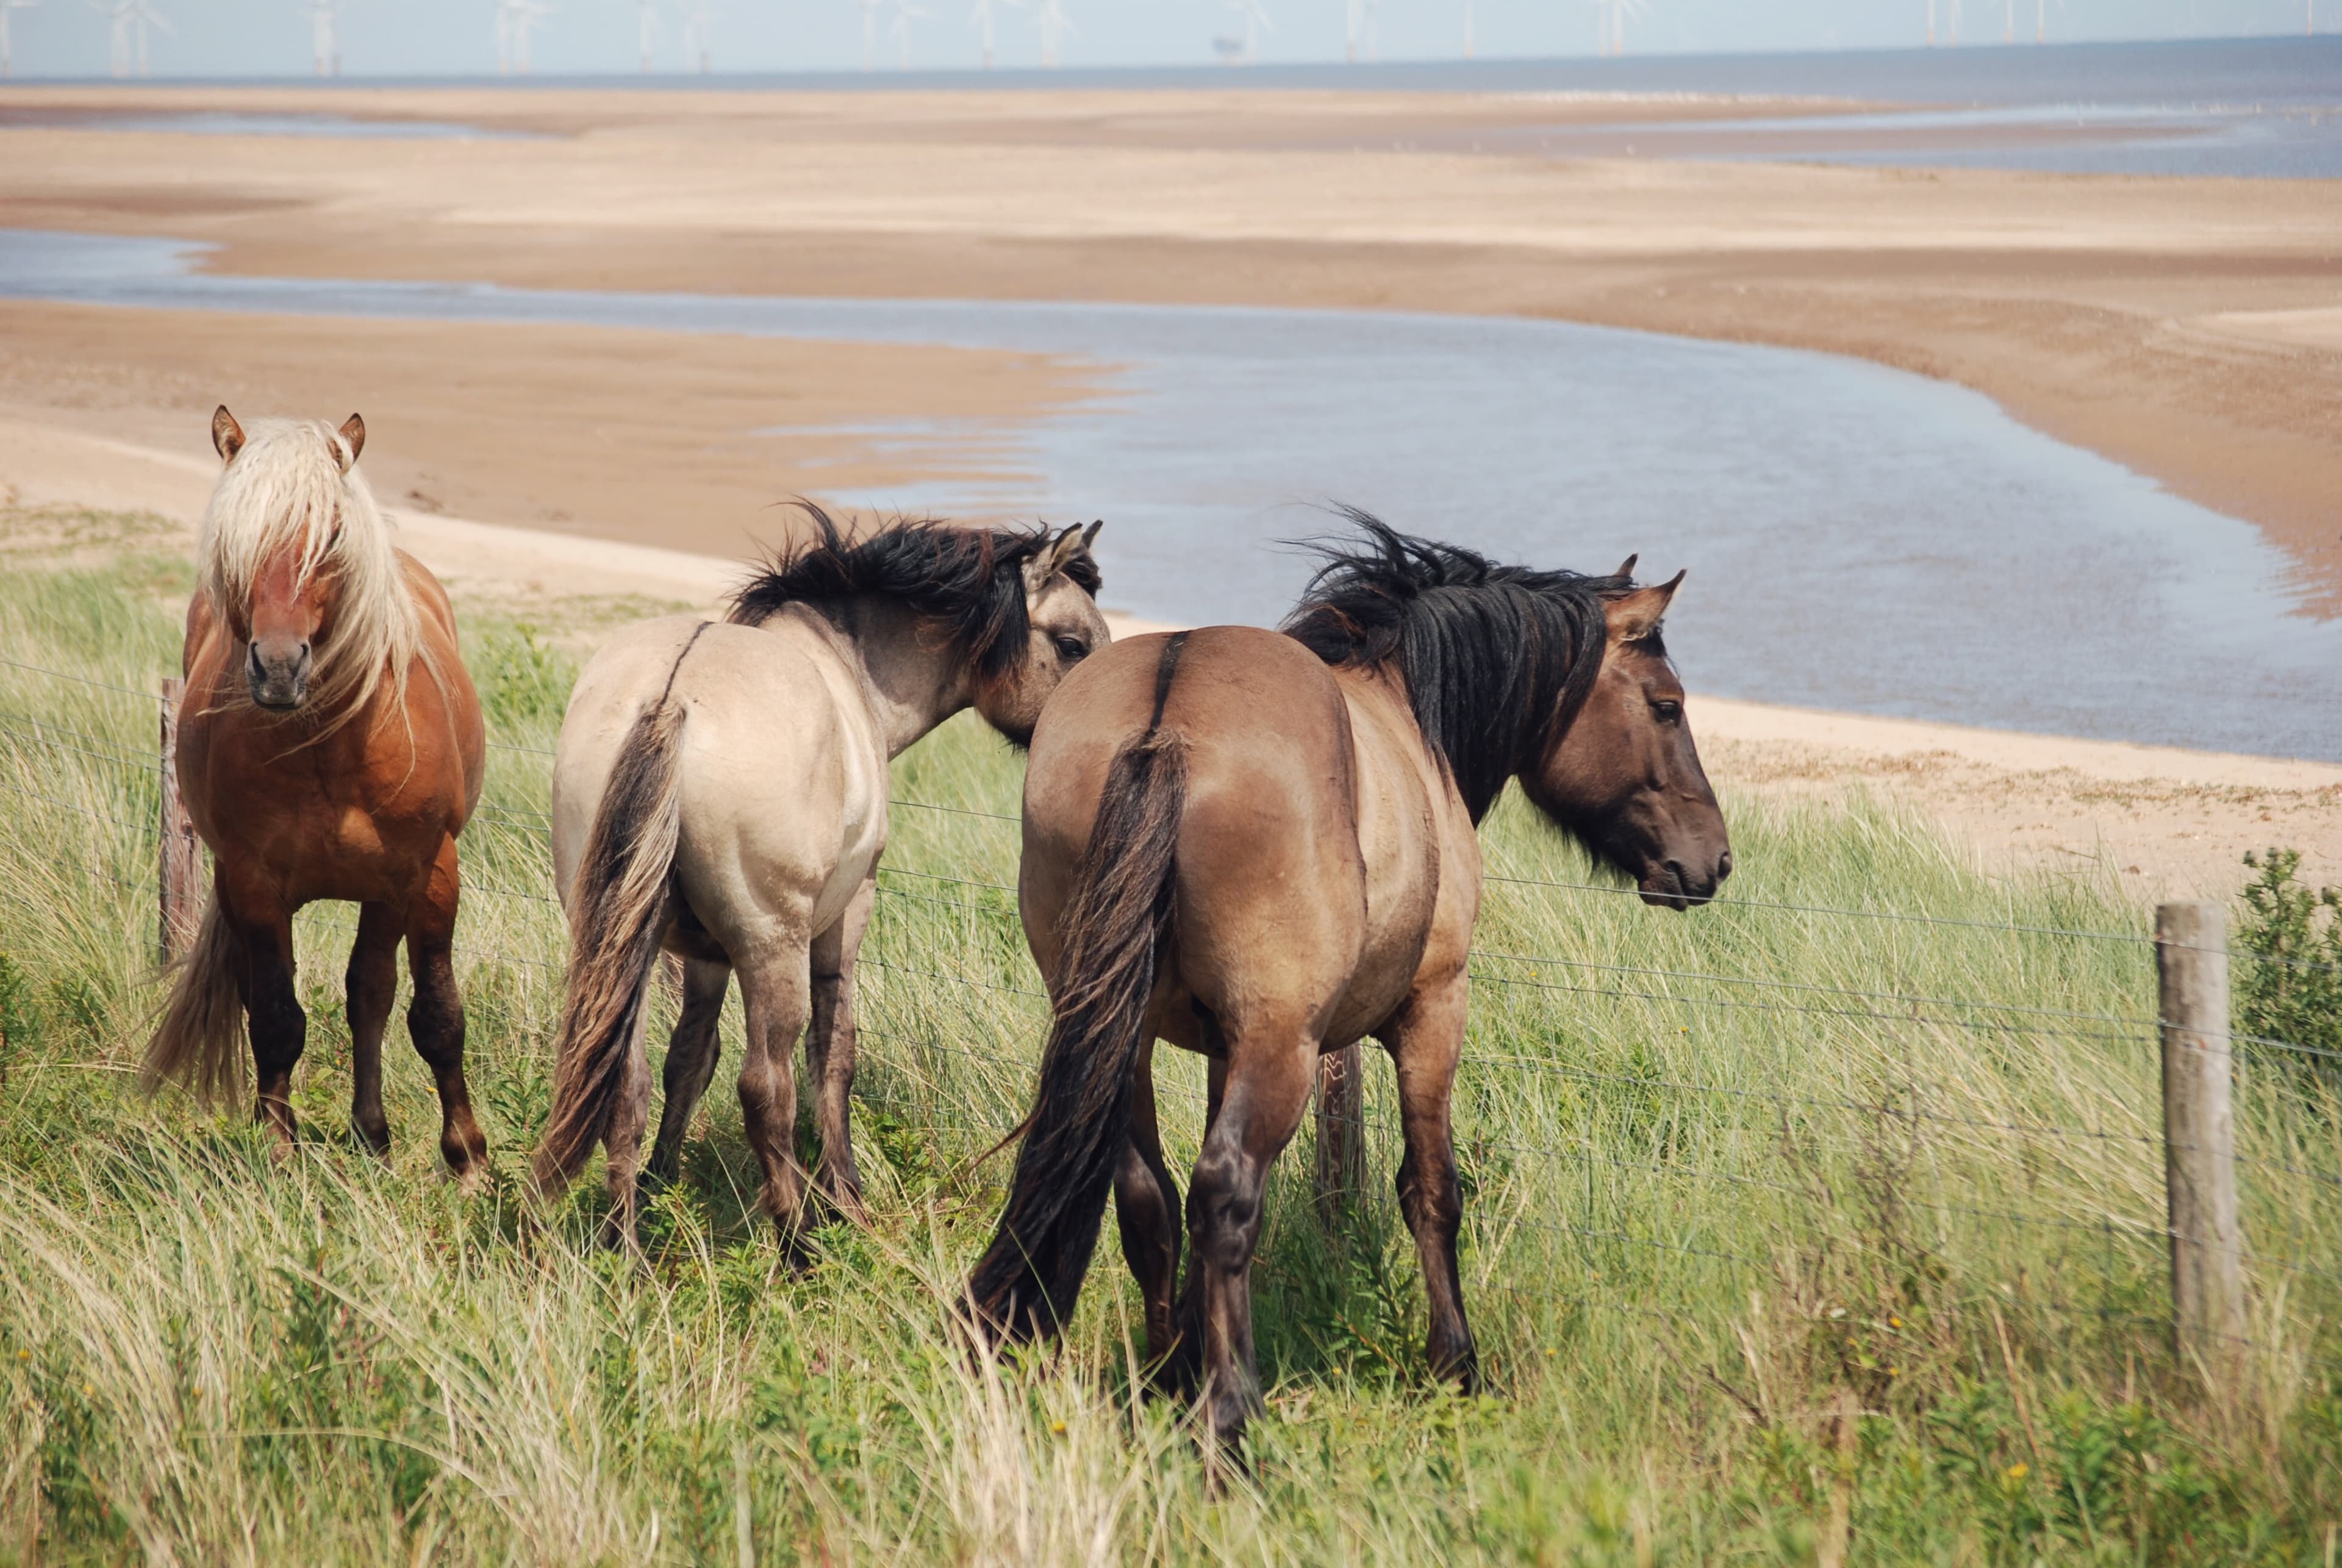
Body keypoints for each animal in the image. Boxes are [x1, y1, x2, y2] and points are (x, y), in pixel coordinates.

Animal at [144, 407, 491, 1184]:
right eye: (235, 537)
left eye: (331, 534)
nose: (278, 668)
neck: (330, 744)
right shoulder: (253, 883)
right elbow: (276, 1016)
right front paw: (278, 1148)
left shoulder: (429, 875)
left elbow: (437, 1016)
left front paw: (468, 1162)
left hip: (386, 894)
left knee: (372, 995)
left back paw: (374, 1133)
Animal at [532, 506, 1108, 1254]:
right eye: (1072, 644)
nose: (1097, 741)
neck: (849, 671)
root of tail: (671, 698)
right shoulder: (843, 918)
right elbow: (833, 1056)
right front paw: (847, 1198)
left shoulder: (704, 954)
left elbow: (689, 1058)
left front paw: (663, 1181)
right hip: (770, 944)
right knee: (764, 1088)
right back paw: (799, 1243)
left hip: (625, 943)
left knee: (623, 1082)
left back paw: (625, 1249)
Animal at [969, 514, 1732, 1449]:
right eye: (1668, 705)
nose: (1712, 860)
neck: (1406, 713)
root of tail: (1165, 717)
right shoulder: (1434, 1008)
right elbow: (1431, 1189)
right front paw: (1457, 1366)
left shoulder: (1220, 1045)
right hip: (1282, 1044)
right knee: (1225, 1190)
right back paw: (1231, 1419)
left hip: (1130, 1037)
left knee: (1150, 1198)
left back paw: (1170, 1379)